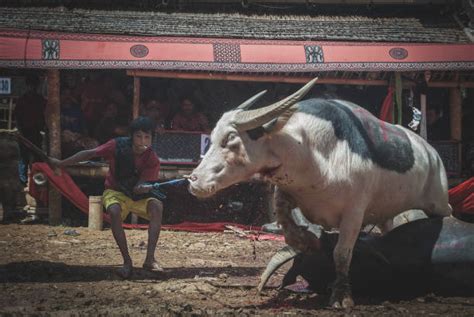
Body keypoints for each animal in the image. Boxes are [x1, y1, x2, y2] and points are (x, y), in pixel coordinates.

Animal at [187, 78, 450, 306]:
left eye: (230, 138)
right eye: (211, 137)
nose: (194, 180)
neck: (312, 152)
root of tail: (431, 153)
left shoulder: (354, 213)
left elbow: (342, 253)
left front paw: (341, 296)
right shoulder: (287, 192)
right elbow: (286, 223)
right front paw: (307, 241)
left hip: (439, 202)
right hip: (387, 214)